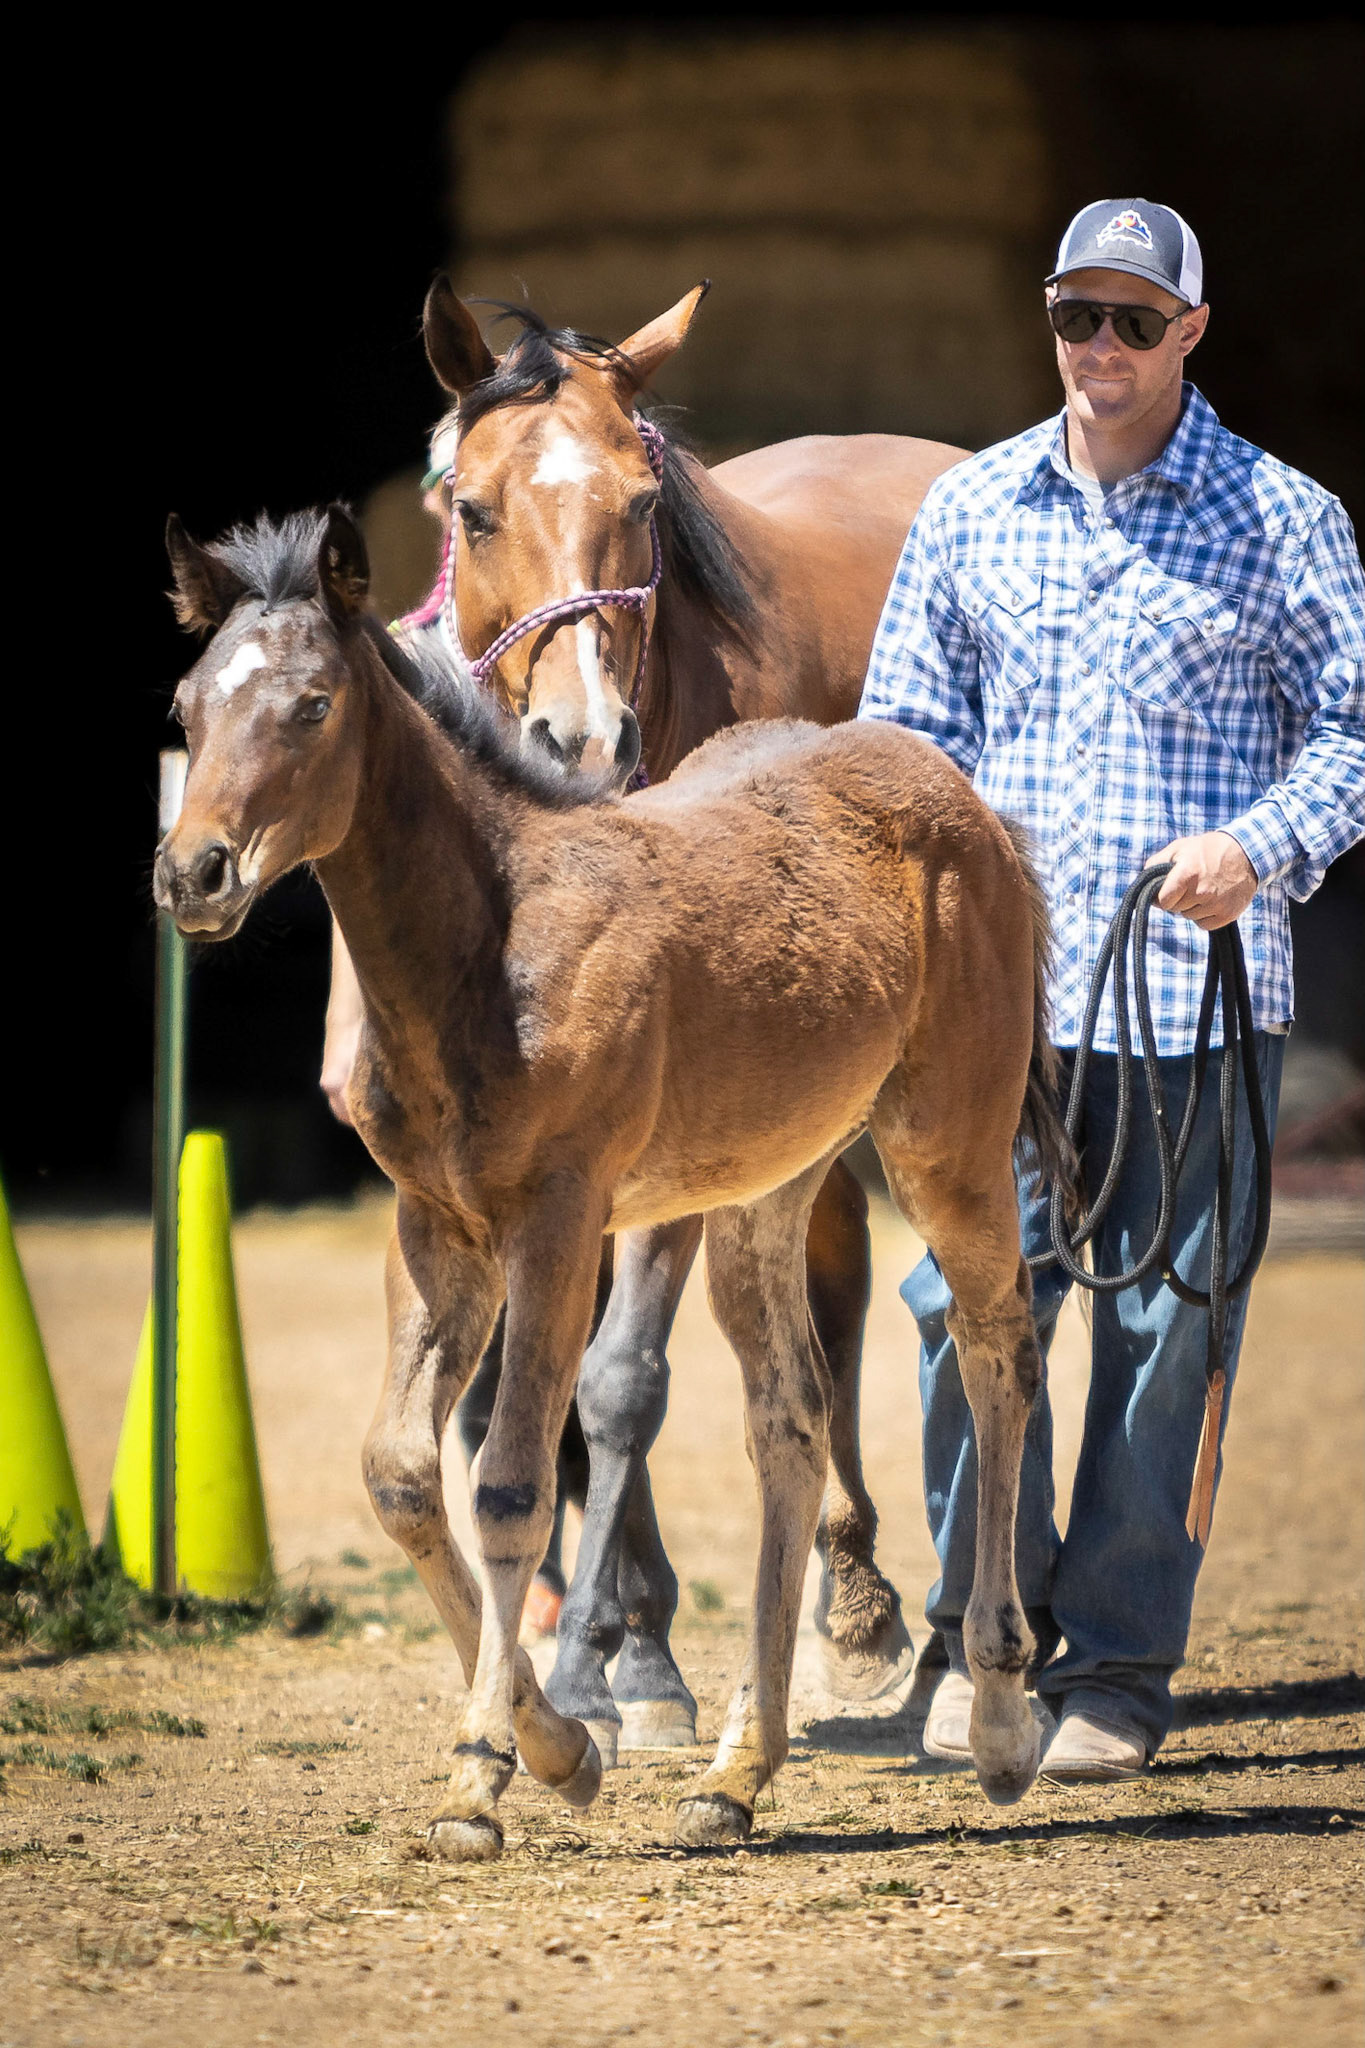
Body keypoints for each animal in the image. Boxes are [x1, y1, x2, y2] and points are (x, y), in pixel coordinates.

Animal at [157, 503, 1068, 1856]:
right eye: (185, 705)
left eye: (313, 705)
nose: (192, 873)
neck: (490, 942)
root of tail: (970, 800)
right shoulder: (436, 1226)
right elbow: (402, 1473)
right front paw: (560, 1746)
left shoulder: (561, 1215)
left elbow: (510, 1486)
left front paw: (488, 1771)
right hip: (763, 1188)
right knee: (790, 1419)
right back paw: (737, 1771)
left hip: (946, 1140)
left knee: (997, 1342)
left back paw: (1001, 1717)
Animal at [399, 279, 969, 1757]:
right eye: (472, 510)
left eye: (641, 502)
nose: (582, 737)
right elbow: (553, 1383)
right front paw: (621, 1641)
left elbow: (618, 1379)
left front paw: (609, 1662)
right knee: (833, 1286)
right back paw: (849, 1593)